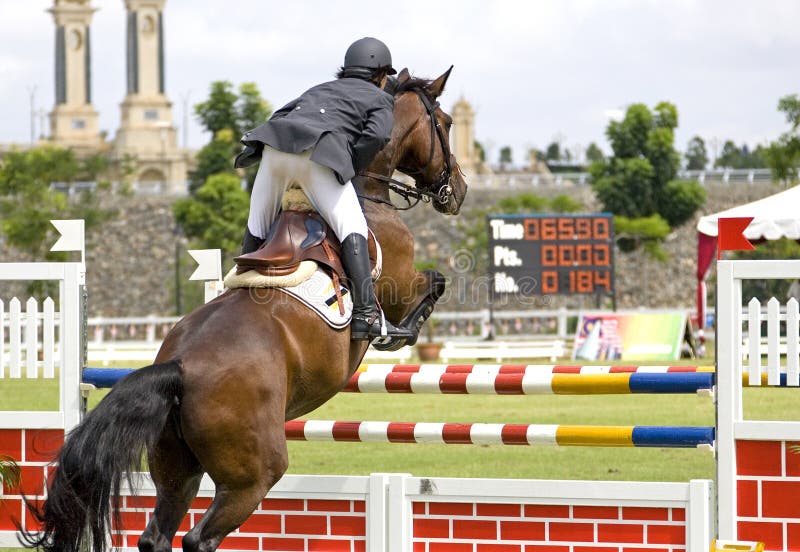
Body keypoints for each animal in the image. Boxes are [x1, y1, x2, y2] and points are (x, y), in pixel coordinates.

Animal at [21, 68, 468, 552]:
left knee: (158, 534)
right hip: (252, 474)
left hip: (177, 470)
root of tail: (179, 367)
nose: (459, 191)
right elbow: (433, 284)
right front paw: (398, 332)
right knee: (199, 537)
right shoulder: (402, 283)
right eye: (444, 123)